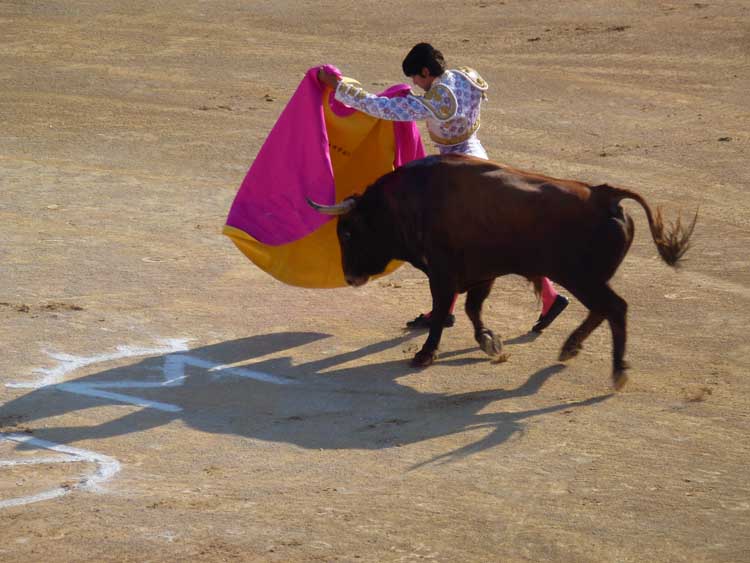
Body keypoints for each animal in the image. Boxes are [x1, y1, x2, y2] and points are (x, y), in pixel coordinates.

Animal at [308, 156, 696, 390]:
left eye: (347, 231)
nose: (350, 277)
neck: (408, 202)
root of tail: (605, 195)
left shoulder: (442, 273)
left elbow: (443, 312)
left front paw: (425, 355)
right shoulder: (483, 273)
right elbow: (472, 309)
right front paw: (489, 341)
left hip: (581, 277)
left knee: (614, 308)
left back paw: (617, 371)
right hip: (587, 279)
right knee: (603, 310)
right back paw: (570, 348)